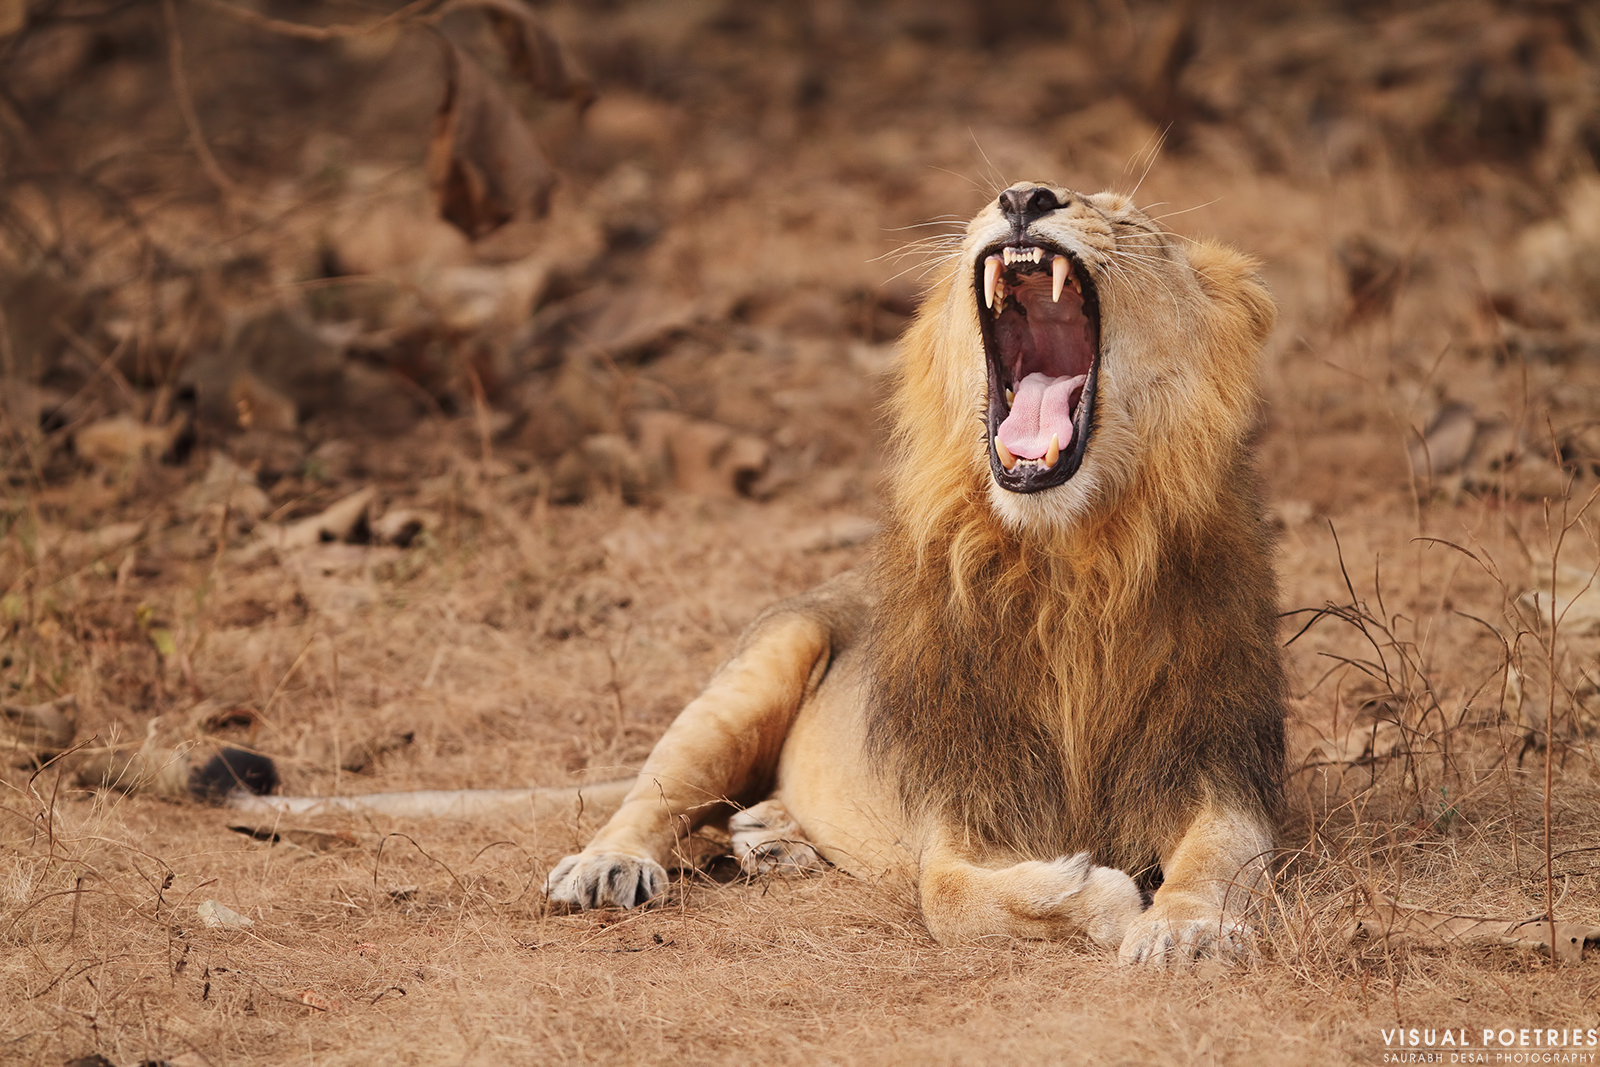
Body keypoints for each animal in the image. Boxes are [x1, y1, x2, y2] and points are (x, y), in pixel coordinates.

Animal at [544, 182, 1286, 968]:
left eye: (1126, 219)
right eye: (1006, 195)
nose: (1025, 196)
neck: (1071, 558)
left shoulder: (1221, 761)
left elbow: (1218, 856)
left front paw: (1186, 927)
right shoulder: (962, 800)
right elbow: (949, 897)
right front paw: (1106, 895)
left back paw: (772, 837)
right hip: (764, 665)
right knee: (657, 792)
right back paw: (608, 864)